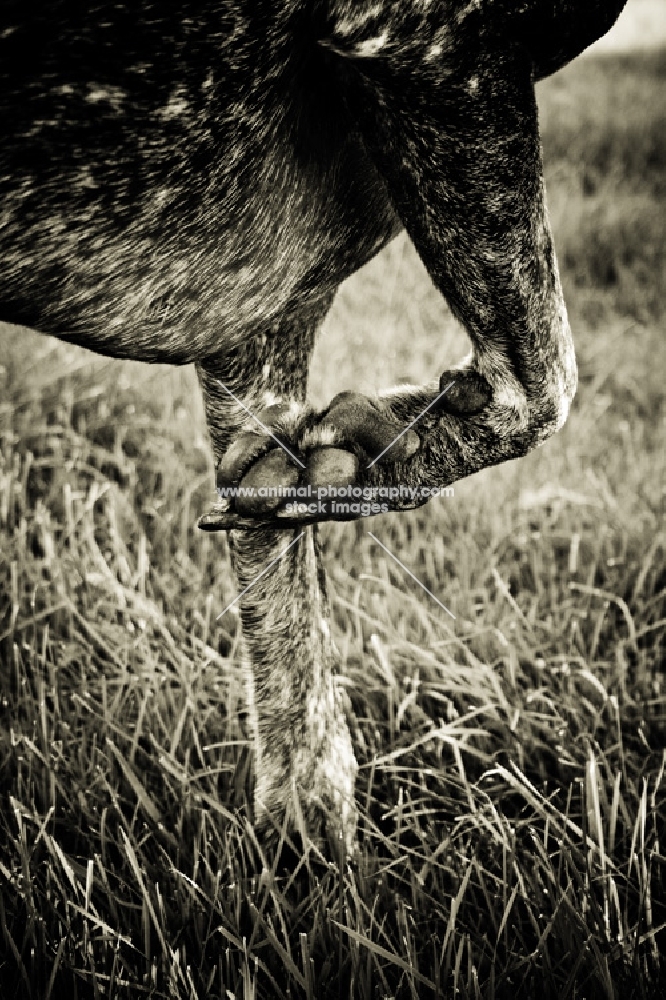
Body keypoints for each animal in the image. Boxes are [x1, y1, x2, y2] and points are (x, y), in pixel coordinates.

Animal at [0, 1, 624, 860]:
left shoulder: (258, 315)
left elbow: (293, 670)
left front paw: (306, 853)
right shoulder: (437, 46)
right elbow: (539, 388)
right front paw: (377, 450)